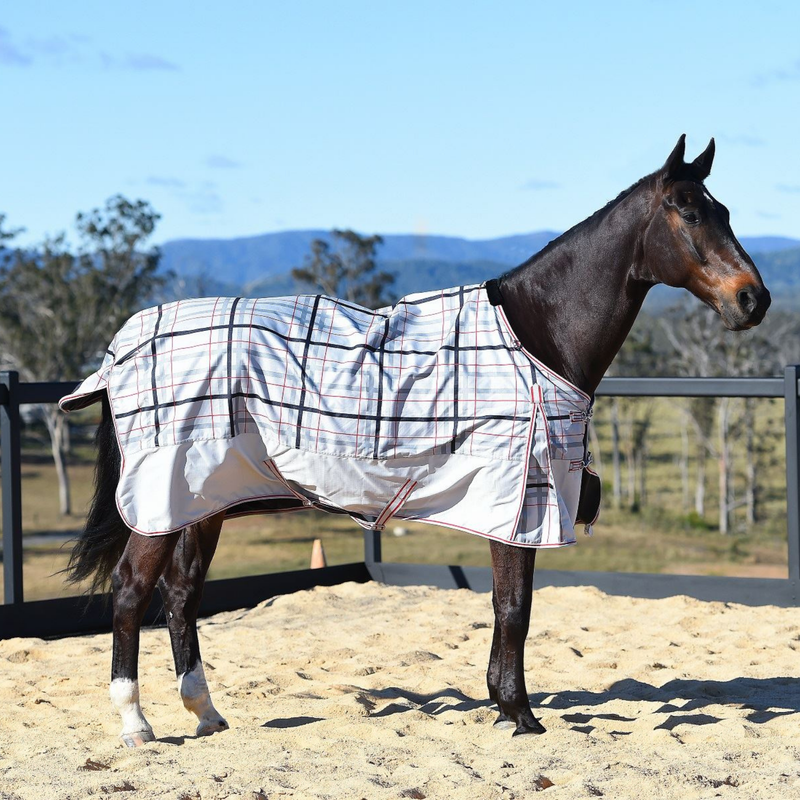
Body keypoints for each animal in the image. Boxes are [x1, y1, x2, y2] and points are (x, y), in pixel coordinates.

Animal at [60, 135, 770, 746]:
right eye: (687, 212)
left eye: (724, 211)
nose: (753, 299)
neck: (536, 336)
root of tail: (124, 345)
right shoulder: (519, 505)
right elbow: (514, 608)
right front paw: (520, 714)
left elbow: (508, 608)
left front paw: (504, 705)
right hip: (162, 501)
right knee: (131, 591)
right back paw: (136, 724)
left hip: (200, 502)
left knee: (181, 596)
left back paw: (206, 713)